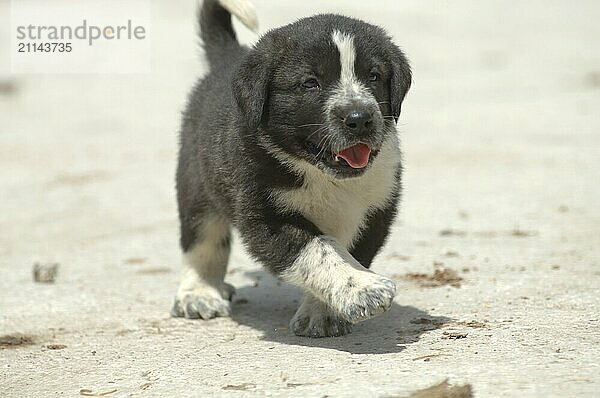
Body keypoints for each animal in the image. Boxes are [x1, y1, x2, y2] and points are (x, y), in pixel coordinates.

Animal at [171, 0, 410, 338]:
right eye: (310, 83)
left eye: (374, 76)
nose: (360, 118)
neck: (321, 174)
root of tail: (228, 58)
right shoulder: (264, 215)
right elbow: (318, 249)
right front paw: (363, 290)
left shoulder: (374, 208)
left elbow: (345, 251)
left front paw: (323, 312)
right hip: (197, 182)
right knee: (203, 239)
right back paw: (199, 293)